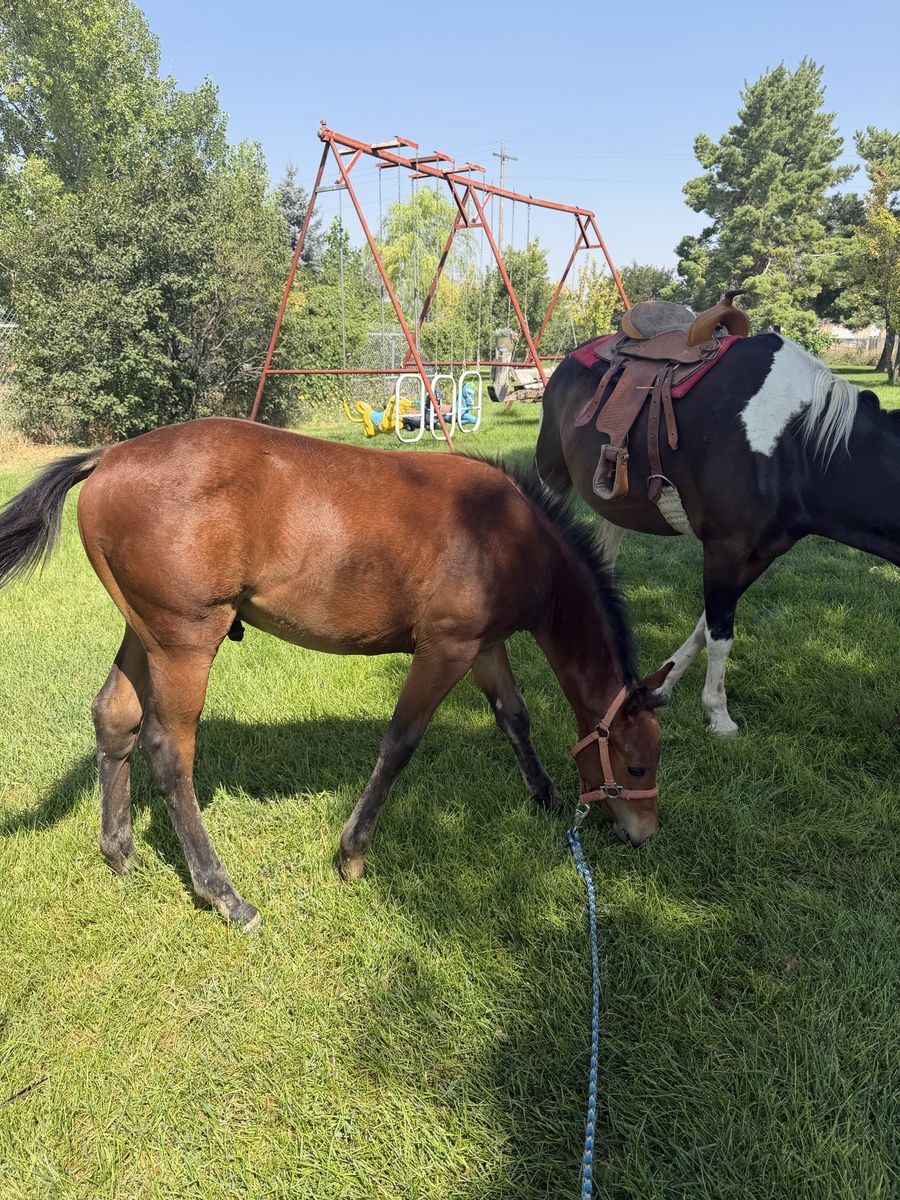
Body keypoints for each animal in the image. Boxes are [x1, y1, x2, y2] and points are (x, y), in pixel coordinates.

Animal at [0, 418, 669, 929]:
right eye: (637, 766)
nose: (644, 834)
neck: (510, 531)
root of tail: (110, 456)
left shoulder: (485, 646)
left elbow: (515, 718)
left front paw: (546, 795)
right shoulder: (445, 649)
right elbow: (400, 743)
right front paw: (352, 853)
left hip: (144, 635)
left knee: (114, 717)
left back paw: (120, 851)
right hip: (184, 642)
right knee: (168, 751)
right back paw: (222, 892)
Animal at [536, 331, 887, 735]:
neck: (797, 445)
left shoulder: (759, 554)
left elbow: (705, 626)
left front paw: (660, 688)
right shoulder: (725, 548)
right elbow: (720, 636)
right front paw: (719, 715)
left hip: (614, 499)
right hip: (552, 474)